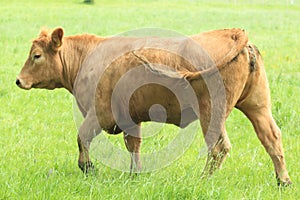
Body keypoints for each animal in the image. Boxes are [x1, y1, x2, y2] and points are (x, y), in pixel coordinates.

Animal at [15, 27, 292, 186]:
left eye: (36, 55)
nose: (19, 80)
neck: (87, 57)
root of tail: (233, 33)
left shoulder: (100, 114)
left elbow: (82, 137)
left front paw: (89, 169)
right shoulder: (130, 118)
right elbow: (133, 145)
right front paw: (134, 174)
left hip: (211, 112)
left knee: (218, 148)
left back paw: (202, 182)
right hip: (258, 106)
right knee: (272, 138)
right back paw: (283, 181)